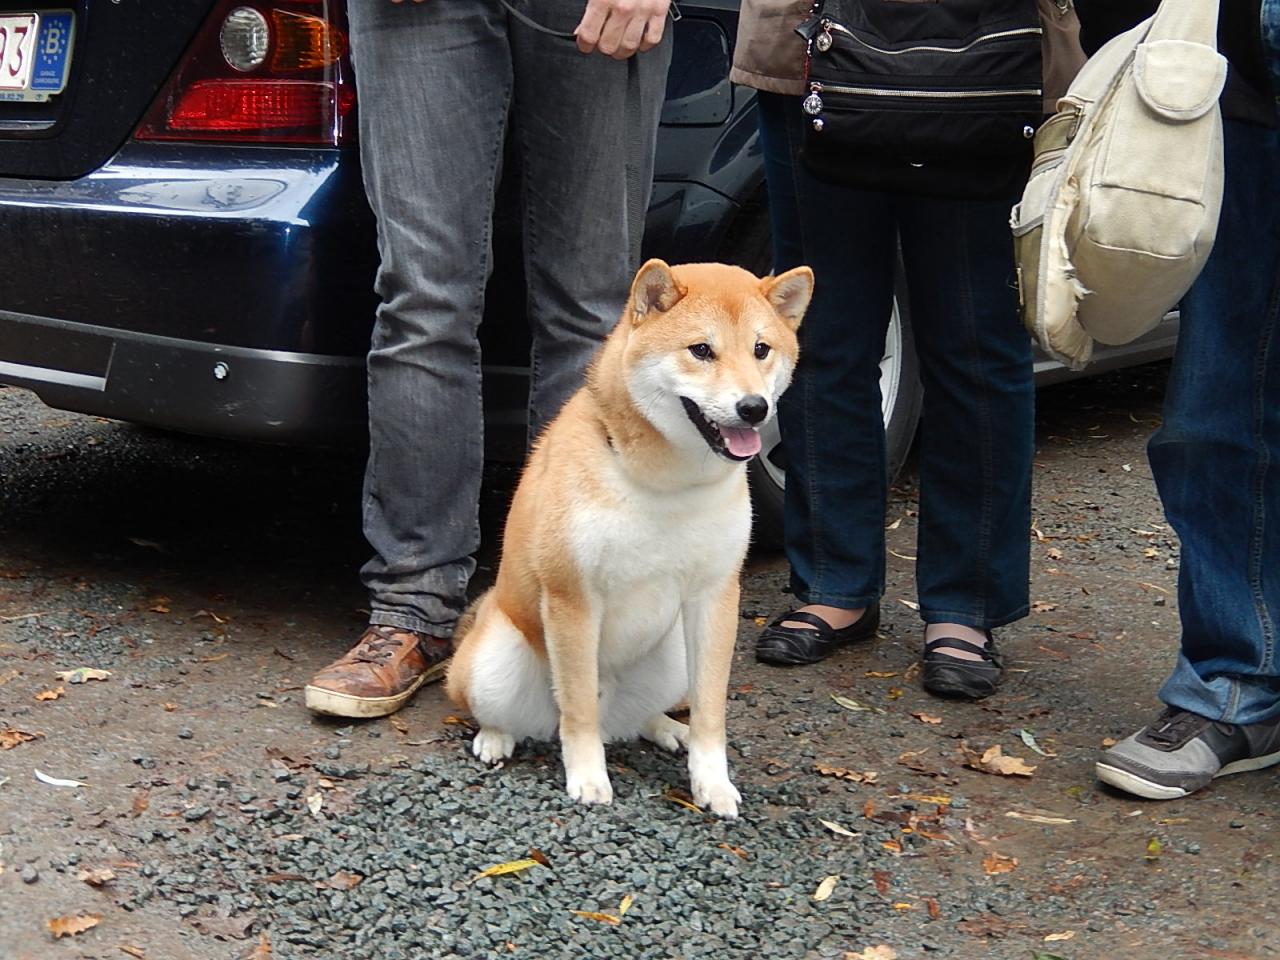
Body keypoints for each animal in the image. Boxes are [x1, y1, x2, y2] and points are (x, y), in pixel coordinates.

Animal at [450, 261, 808, 819]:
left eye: (761, 349)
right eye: (701, 350)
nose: (753, 407)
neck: (668, 485)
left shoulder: (715, 598)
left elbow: (710, 711)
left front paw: (712, 782)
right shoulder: (573, 599)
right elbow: (578, 711)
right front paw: (588, 777)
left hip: (674, 654)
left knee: (639, 717)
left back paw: (664, 728)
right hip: (496, 656)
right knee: (508, 710)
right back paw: (495, 737)